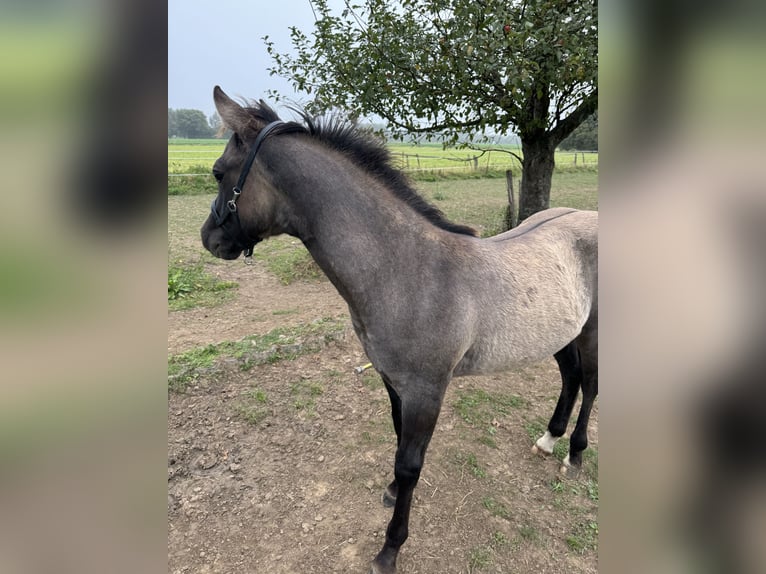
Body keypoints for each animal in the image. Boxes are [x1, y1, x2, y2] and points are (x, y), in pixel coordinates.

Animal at [202, 86, 600, 574]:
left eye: (219, 172)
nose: (209, 238)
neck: (406, 270)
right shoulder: (392, 380)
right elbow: (396, 444)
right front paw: (391, 494)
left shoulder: (426, 391)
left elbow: (410, 463)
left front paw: (390, 549)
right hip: (559, 333)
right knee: (571, 377)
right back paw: (549, 439)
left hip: (592, 331)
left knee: (591, 385)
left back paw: (575, 455)